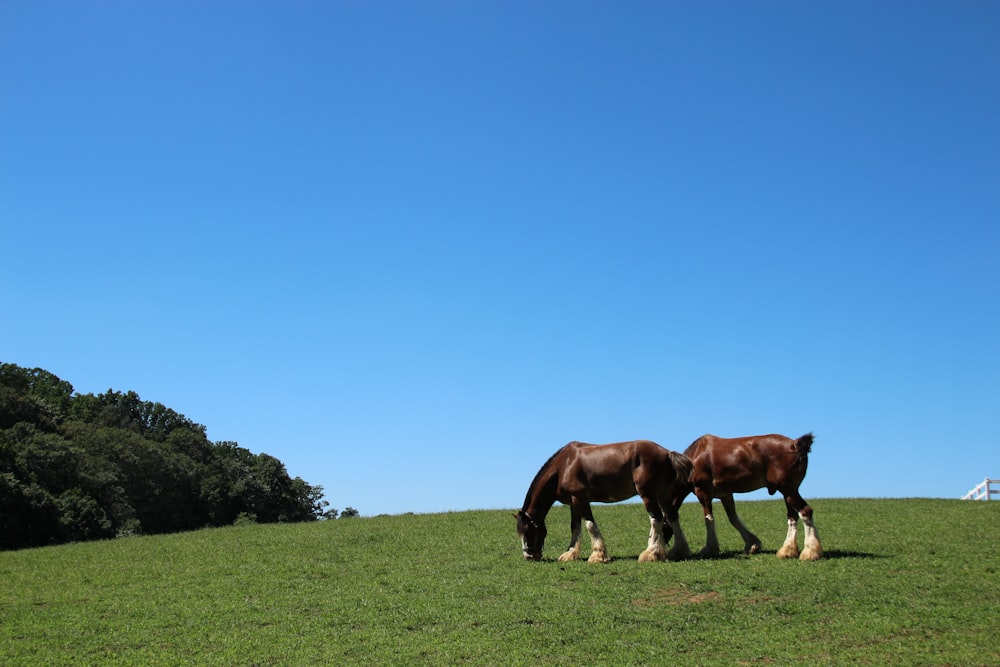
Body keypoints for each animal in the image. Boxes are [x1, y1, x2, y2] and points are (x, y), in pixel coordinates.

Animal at [516, 444, 696, 564]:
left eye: (528, 530)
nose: (529, 556)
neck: (564, 466)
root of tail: (666, 453)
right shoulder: (573, 503)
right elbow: (575, 527)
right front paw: (570, 554)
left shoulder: (580, 499)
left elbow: (589, 525)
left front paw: (597, 555)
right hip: (663, 495)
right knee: (671, 517)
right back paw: (678, 551)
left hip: (648, 495)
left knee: (656, 519)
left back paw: (651, 553)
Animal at [668, 434, 824, 564]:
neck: (695, 458)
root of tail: (795, 444)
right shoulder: (726, 494)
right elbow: (733, 518)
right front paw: (752, 543)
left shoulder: (703, 492)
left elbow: (709, 518)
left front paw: (710, 549)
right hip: (788, 493)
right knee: (792, 517)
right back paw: (787, 550)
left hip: (788, 490)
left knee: (805, 511)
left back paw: (810, 552)